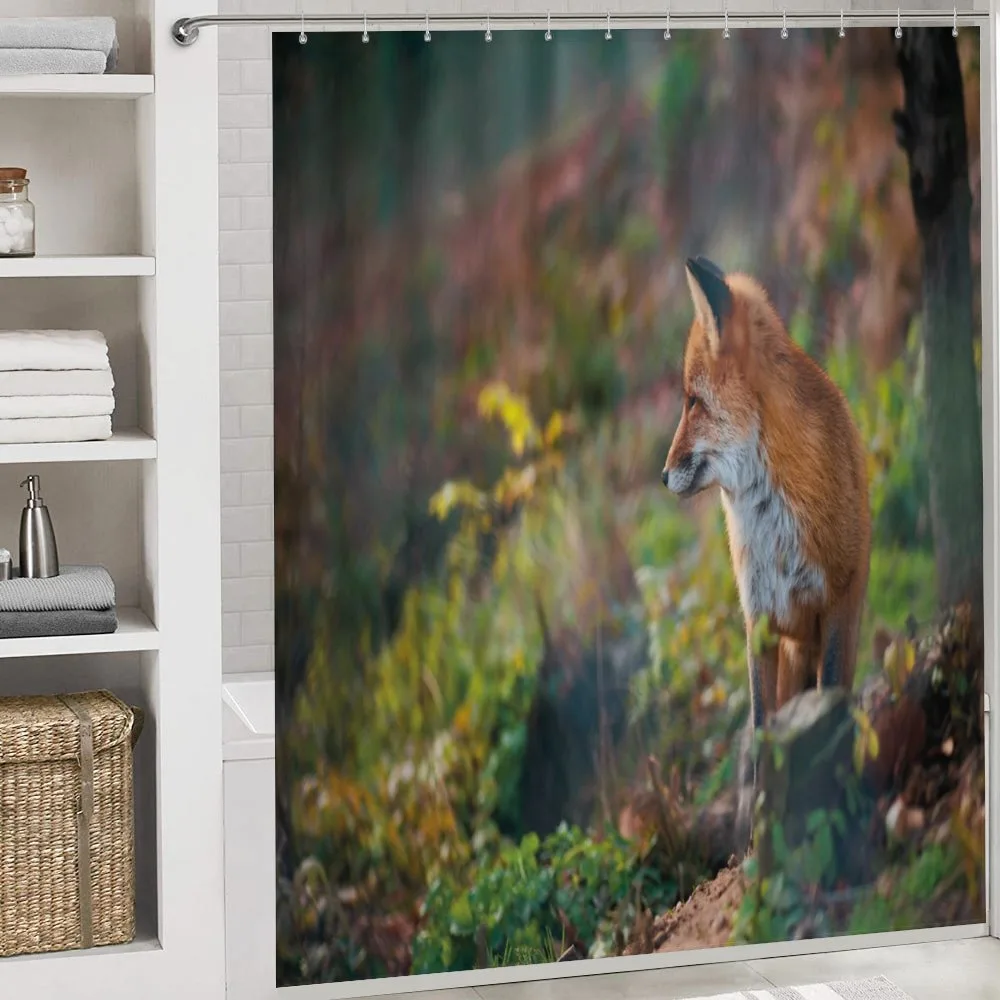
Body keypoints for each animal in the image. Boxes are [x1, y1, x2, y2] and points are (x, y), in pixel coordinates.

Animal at [661, 256, 871, 850]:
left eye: (692, 401)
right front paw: (757, 841)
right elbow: (760, 732)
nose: (661, 475)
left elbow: (830, 702)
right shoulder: (759, 620)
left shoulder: (837, 599)